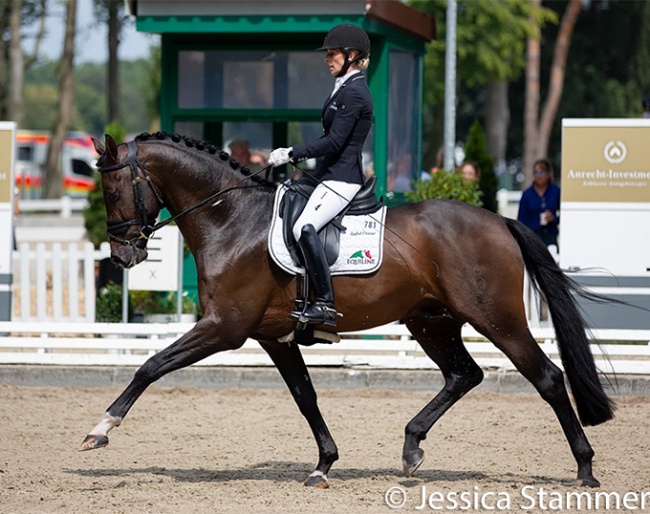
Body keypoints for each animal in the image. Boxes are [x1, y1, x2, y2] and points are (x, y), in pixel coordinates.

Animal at [78, 130, 612, 486]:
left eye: (112, 189)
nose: (123, 256)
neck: (230, 219)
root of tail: (500, 221)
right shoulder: (273, 337)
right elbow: (305, 397)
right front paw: (323, 464)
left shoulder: (224, 327)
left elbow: (151, 365)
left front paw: (100, 430)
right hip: (431, 322)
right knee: (464, 375)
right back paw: (412, 446)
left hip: (496, 318)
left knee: (546, 377)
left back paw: (585, 468)